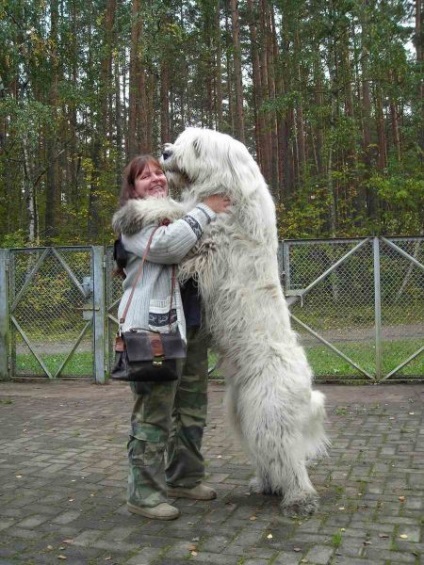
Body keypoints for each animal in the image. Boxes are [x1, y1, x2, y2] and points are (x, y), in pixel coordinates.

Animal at [162, 128, 328, 516]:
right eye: (182, 138)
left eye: (196, 145)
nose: (165, 152)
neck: (231, 190)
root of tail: (305, 389)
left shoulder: (209, 244)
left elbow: (182, 217)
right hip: (244, 412)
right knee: (269, 455)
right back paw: (267, 485)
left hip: (270, 414)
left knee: (289, 457)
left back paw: (300, 499)